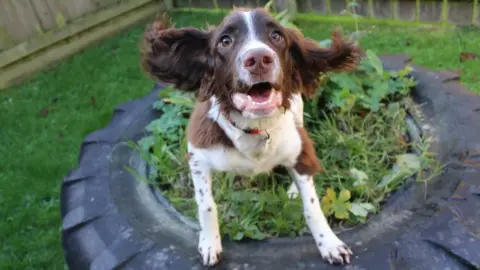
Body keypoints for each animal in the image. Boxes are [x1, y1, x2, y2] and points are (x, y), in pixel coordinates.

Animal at [142, 7, 360, 266]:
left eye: (276, 36)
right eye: (225, 41)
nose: (258, 59)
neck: (254, 126)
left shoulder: (299, 146)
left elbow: (312, 206)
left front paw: (329, 243)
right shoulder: (197, 155)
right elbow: (206, 205)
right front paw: (210, 242)